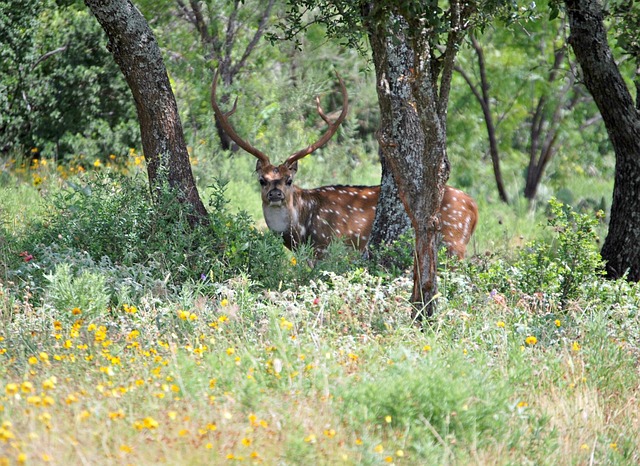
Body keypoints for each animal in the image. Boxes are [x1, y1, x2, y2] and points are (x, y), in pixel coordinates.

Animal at [211, 70, 478, 259]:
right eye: (262, 180)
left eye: (289, 180)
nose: (275, 194)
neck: (301, 232)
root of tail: (474, 207)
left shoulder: (330, 246)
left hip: (454, 241)